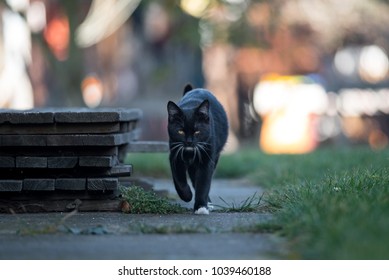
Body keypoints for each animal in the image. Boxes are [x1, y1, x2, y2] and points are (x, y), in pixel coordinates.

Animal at [166, 84, 227, 213]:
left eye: (197, 131)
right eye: (180, 131)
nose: (189, 141)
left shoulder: (207, 159)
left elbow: (203, 183)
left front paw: (201, 207)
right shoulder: (175, 156)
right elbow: (179, 179)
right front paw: (187, 195)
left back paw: (208, 203)